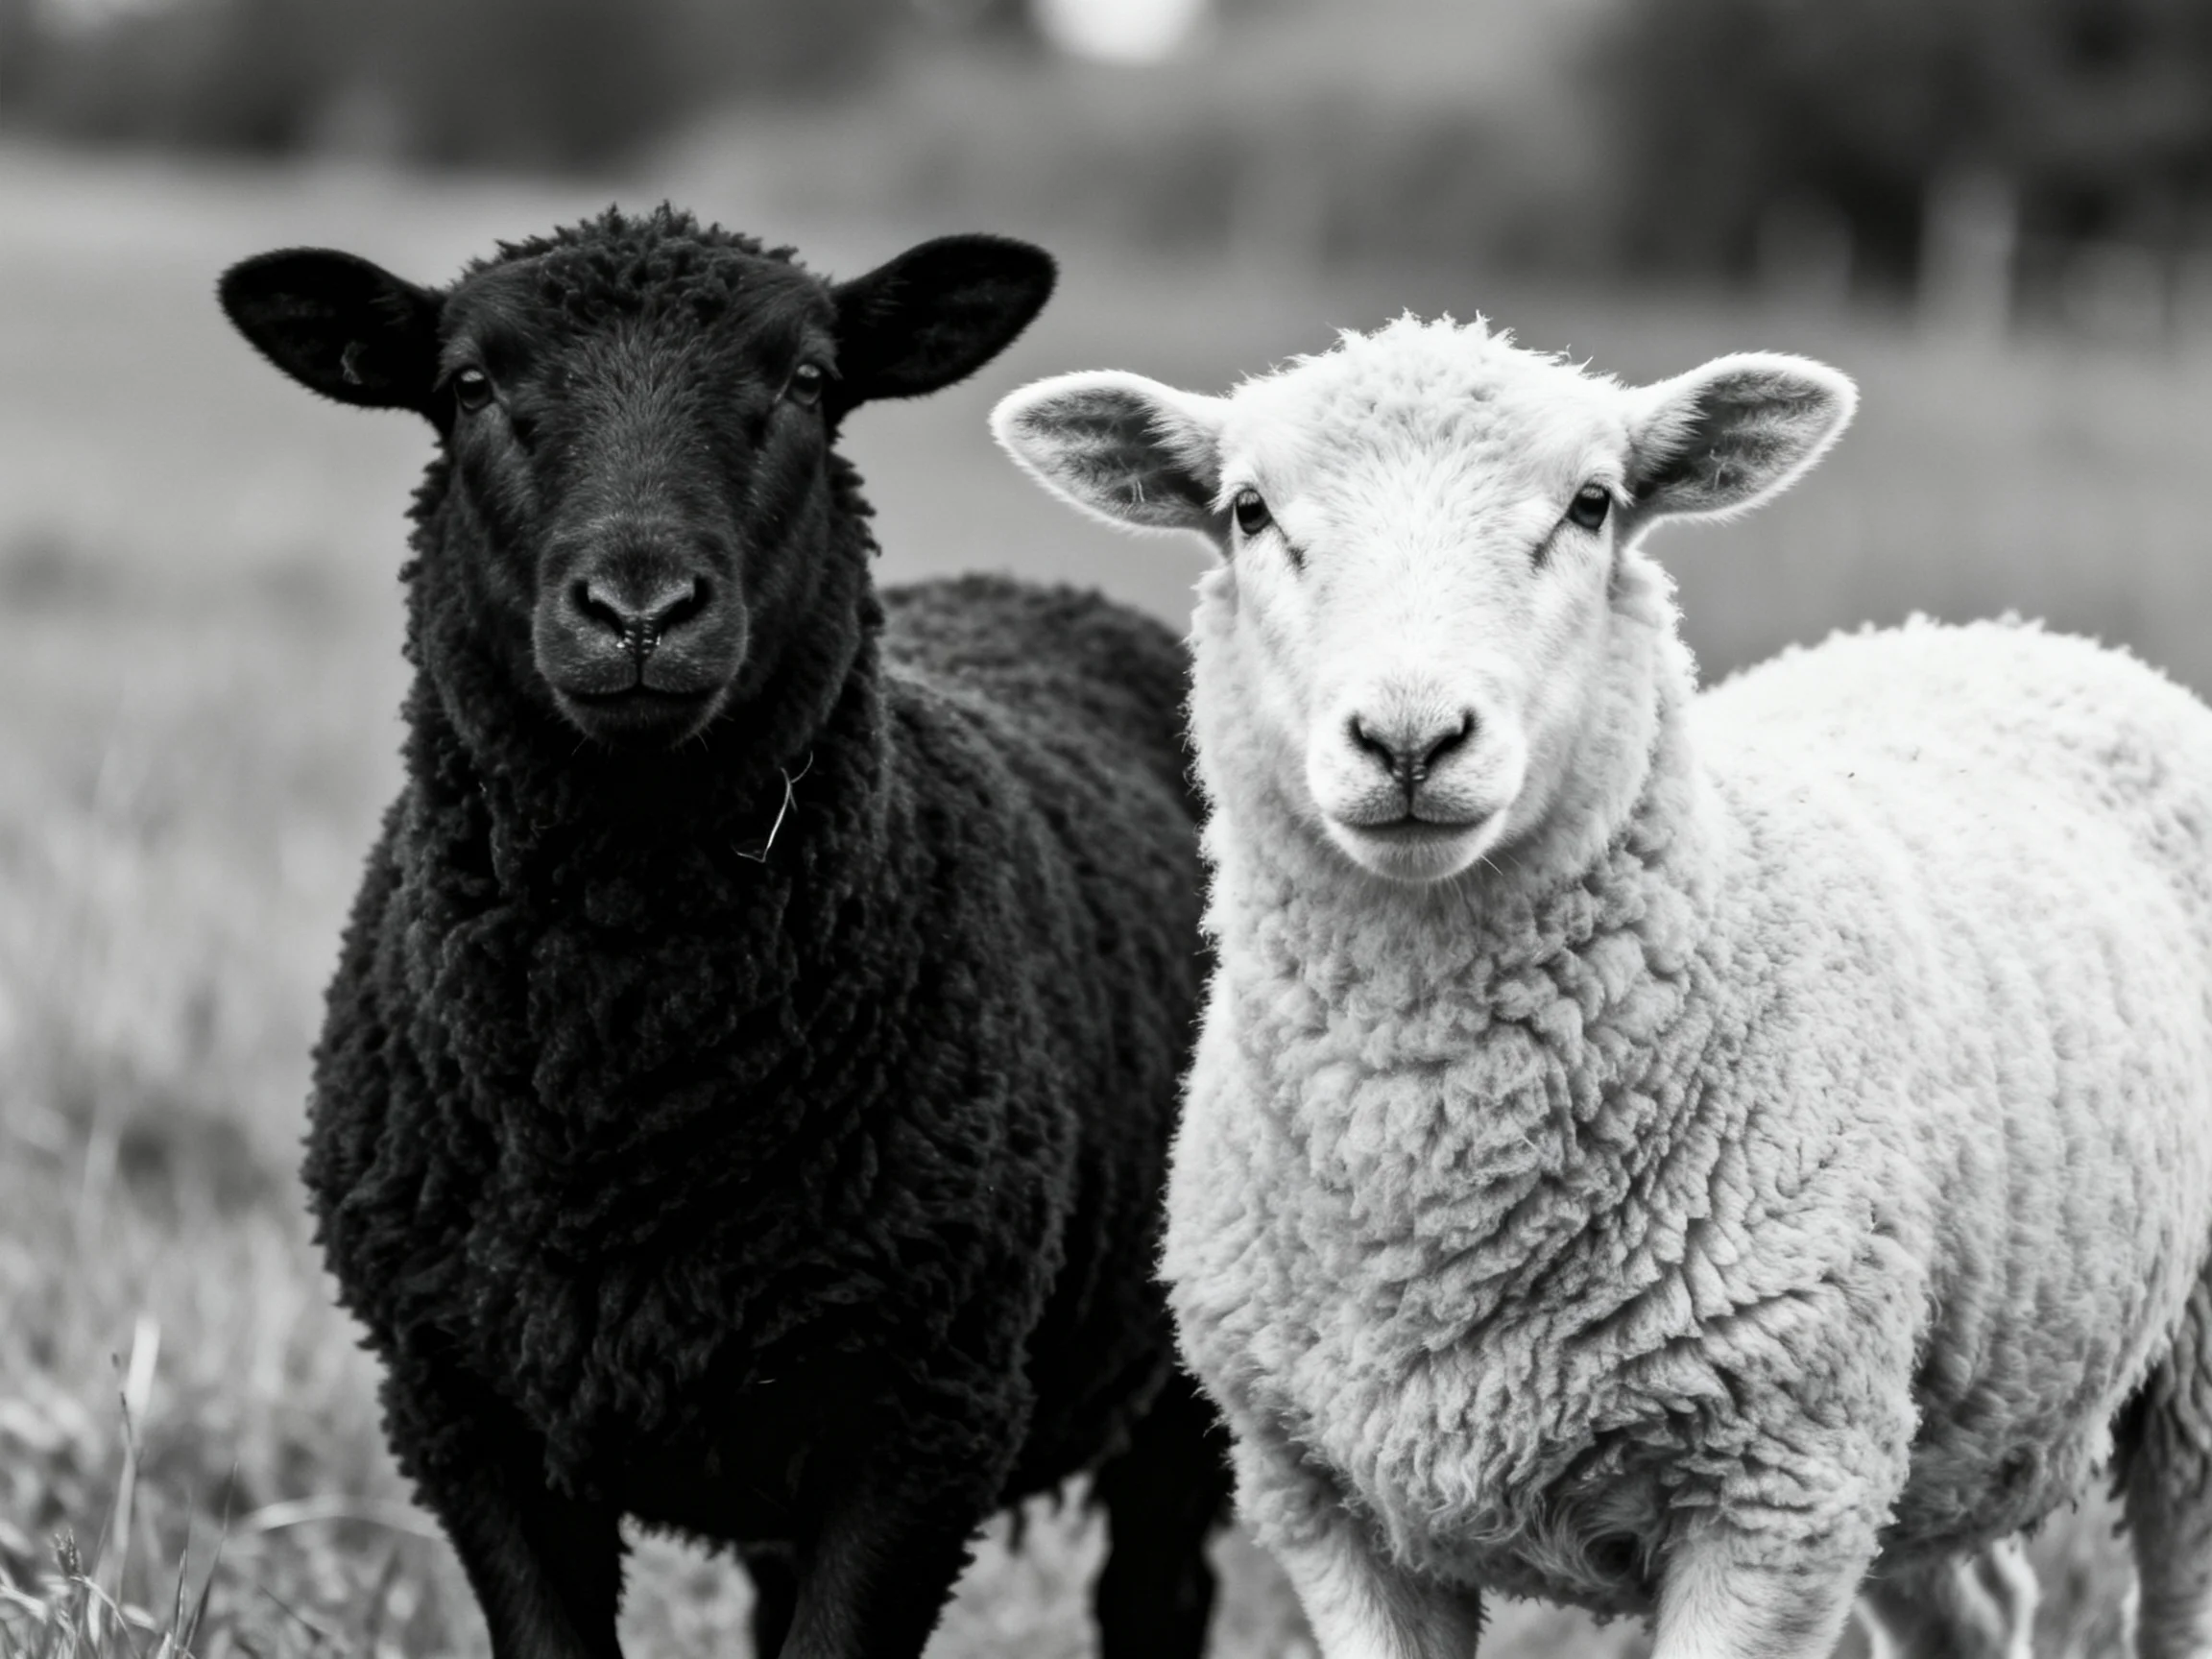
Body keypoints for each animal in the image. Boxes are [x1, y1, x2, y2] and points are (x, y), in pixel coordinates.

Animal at [215, 206, 1229, 1659]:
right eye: (467, 387)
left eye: (809, 382)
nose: (640, 611)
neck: (624, 1101)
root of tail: (1044, 587)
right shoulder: (459, 1410)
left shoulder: (928, 1417)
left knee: (1160, 1592)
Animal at [991, 314, 2212, 1659]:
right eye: (1250, 512)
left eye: (1592, 505)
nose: (1411, 740)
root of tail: (2004, 633)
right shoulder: (1326, 1505)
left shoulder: (1778, 1495)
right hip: (1940, 1405)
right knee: (1981, 1605)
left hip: (2171, 1376)